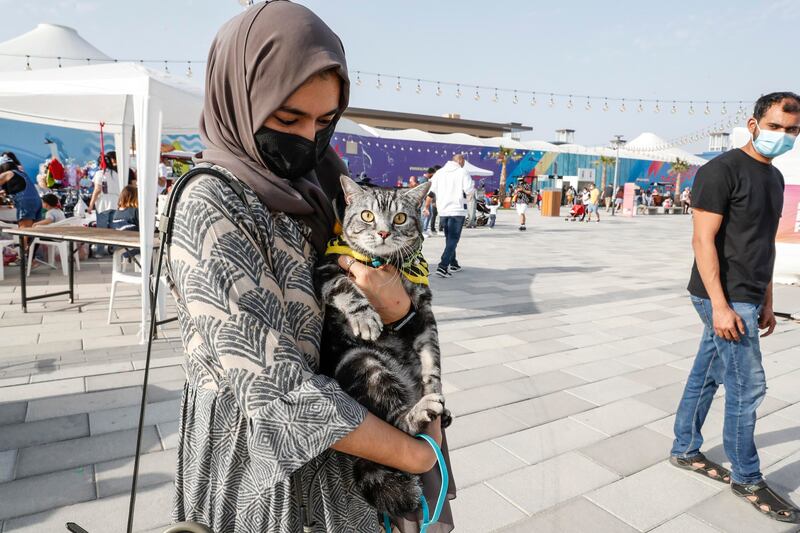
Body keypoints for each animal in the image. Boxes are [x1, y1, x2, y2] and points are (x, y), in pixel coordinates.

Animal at [318, 175, 450, 516]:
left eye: (400, 218)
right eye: (367, 215)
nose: (383, 232)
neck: (382, 264)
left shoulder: (424, 311)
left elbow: (432, 358)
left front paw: (434, 384)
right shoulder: (325, 271)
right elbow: (346, 287)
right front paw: (366, 318)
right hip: (363, 361)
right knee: (397, 421)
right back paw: (420, 412)